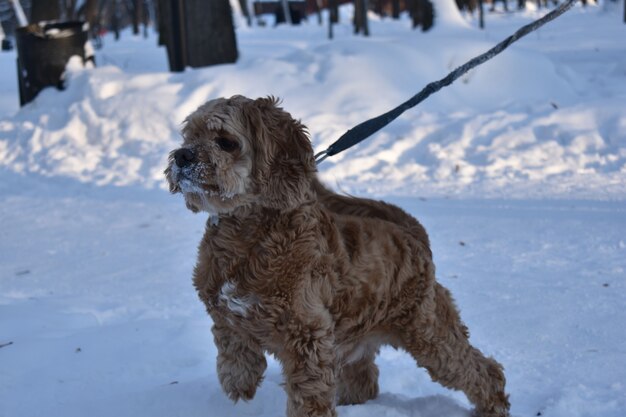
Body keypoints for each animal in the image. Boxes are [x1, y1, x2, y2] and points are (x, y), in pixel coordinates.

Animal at [165, 95, 508, 416]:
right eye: (189, 136)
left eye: (225, 141)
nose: (182, 155)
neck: (246, 235)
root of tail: (412, 231)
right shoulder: (228, 320)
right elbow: (235, 363)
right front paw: (239, 394)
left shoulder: (308, 336)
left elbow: (310, 397)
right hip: (355, 335)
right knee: (365, 379)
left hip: (427, 329)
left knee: (482, 370)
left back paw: (493, 406)